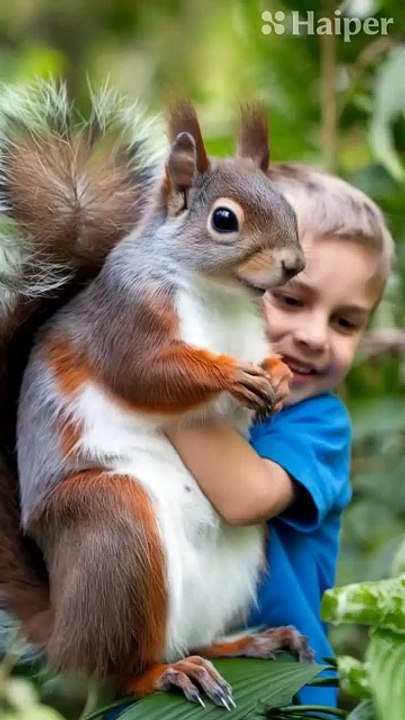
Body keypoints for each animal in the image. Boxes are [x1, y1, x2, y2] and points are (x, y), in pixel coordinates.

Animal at [0, 82, 311, 708]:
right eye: (224, 220)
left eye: (289, 206)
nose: (295, 264)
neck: (220, 295)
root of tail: (63, 633)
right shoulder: (126, 317)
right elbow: (147, 372)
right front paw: (230, 376)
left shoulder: (252, 331)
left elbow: (265, 361)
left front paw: (279, 376)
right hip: (115, 528)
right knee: (124, 668)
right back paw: (166, 673)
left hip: (238, 558)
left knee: (191, 636)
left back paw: (242, 644)